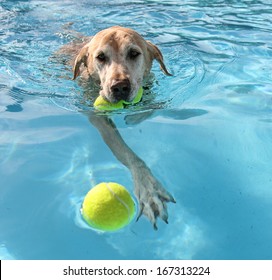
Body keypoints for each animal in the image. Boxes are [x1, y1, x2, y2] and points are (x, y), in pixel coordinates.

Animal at [58, 25, 175, 229]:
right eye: (101, 57)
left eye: (134, 53)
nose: (120, 87)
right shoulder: (97, 117)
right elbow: (124, 150)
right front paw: (148, 188)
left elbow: (152, 109)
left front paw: (134, 117)